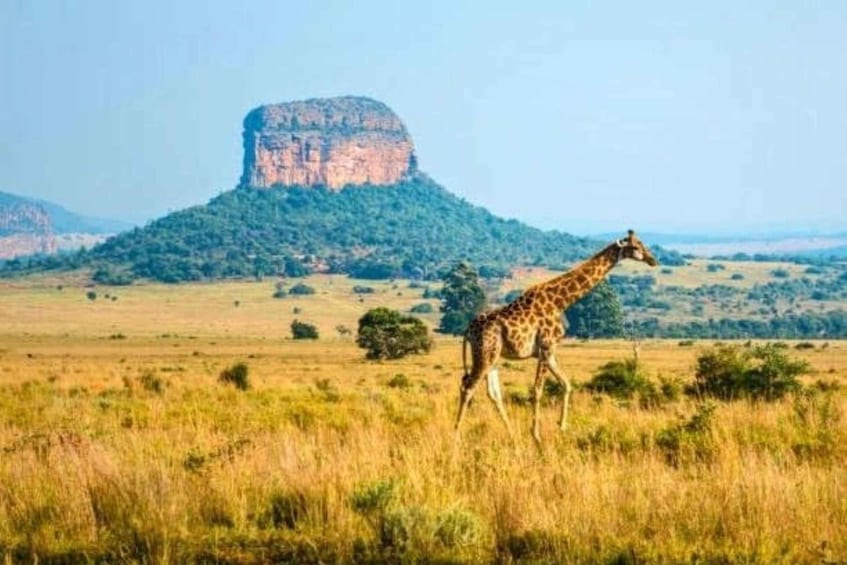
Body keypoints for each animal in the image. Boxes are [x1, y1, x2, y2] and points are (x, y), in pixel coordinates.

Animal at [454, 230, 658, 444]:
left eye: (642, 243)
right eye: (635, 246)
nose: (653, 260)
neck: (560, 302)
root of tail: (468, 330)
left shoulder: (549, 351)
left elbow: (566, 384)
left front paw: (562, 427)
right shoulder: (546, 346)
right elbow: (537, 390)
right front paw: (536, 436)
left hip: (493, 357)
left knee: (493, 393)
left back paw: (512, 434)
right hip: (484, 354)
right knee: (467, 387)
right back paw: (456, 435)